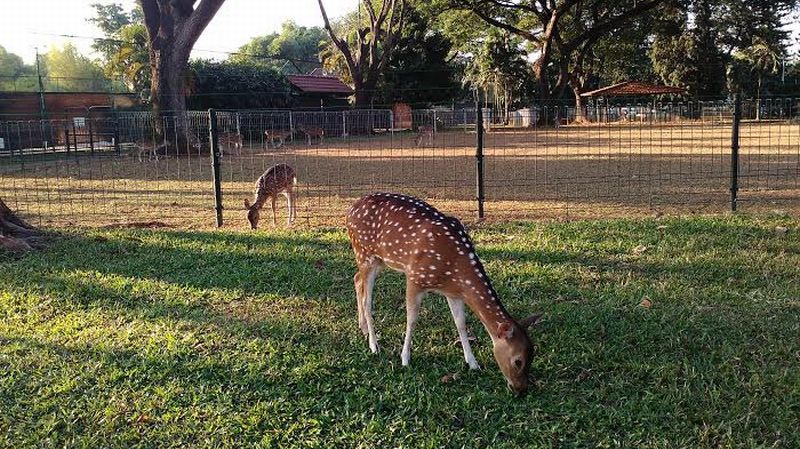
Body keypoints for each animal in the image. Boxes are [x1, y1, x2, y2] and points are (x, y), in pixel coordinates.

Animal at [346, 192, 540, 396]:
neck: (455, 267)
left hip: (379, 261)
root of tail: (350, 210)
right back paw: (374, 345)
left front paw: (473, 363)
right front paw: (405, 358)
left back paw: (363, 328)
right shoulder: (414, 277)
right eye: (518, 361)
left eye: (533, 355)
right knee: (367, 299)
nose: (520, 389)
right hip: (364, 253)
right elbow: (412, 319)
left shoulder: (454, 292)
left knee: (356, 278)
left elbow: (460, 323)